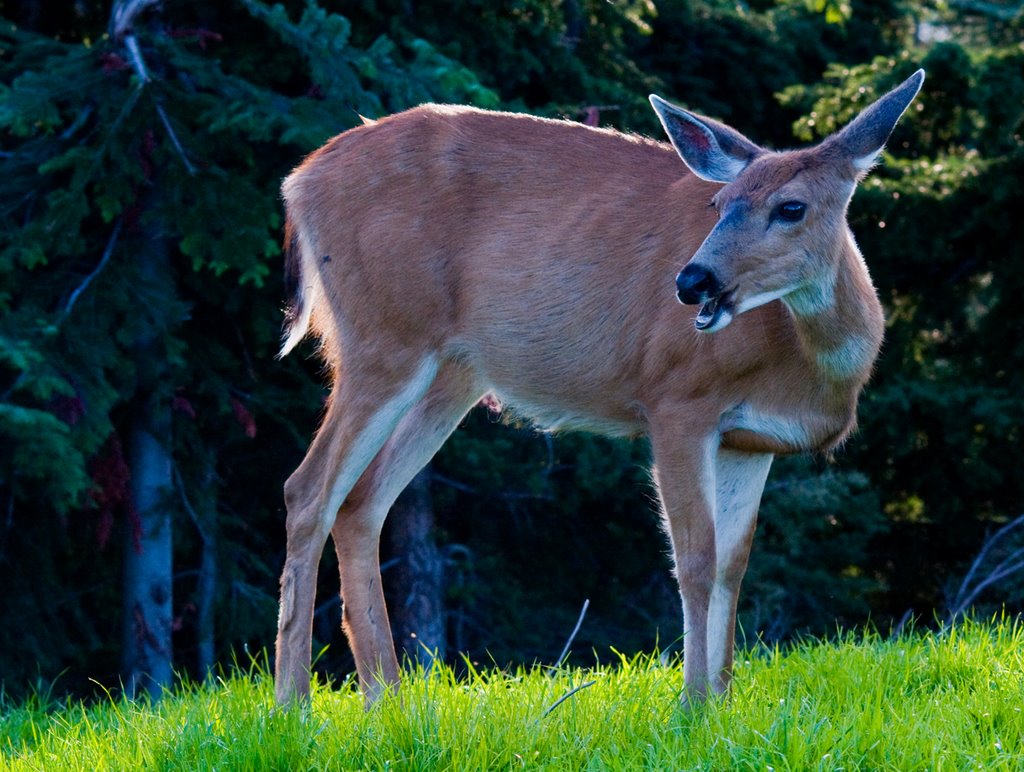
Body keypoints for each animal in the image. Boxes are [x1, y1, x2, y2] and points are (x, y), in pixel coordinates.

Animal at [274, 69, 929, 708]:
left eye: (792, 207)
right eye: (718, 204)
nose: (692, 280)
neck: (803, 365)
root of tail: (299, 181)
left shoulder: (750, 441)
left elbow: (733, 566)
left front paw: (722, 701)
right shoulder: (676, 401)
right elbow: (695, 559)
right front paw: (693, 706)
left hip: (450, 373)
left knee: (361, 504)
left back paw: (387, 701)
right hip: (385, 337)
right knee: (306, 490)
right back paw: (294, 704)